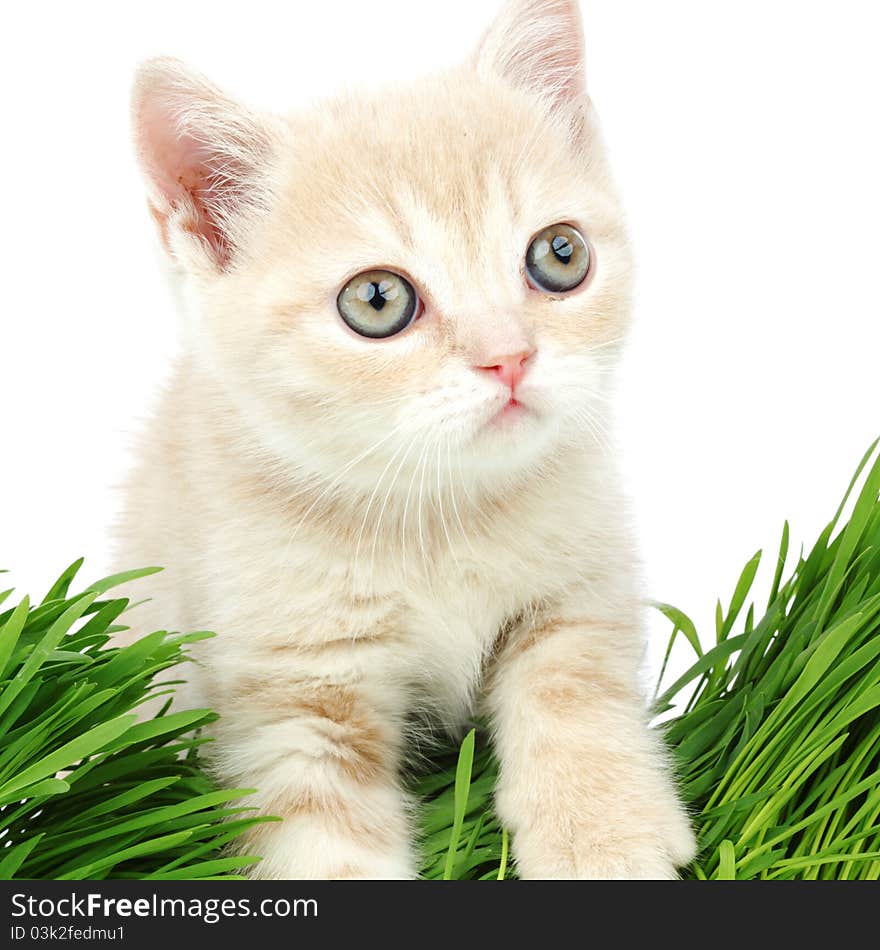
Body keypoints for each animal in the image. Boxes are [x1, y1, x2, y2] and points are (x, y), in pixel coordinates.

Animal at [115, 0, 696, 884]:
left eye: (560, 254)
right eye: (378, 300)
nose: (510, 356)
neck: (435, 515)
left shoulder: (581, 589)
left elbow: (576, 695)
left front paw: (603, 837)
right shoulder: (290, 704)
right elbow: (326, 848)